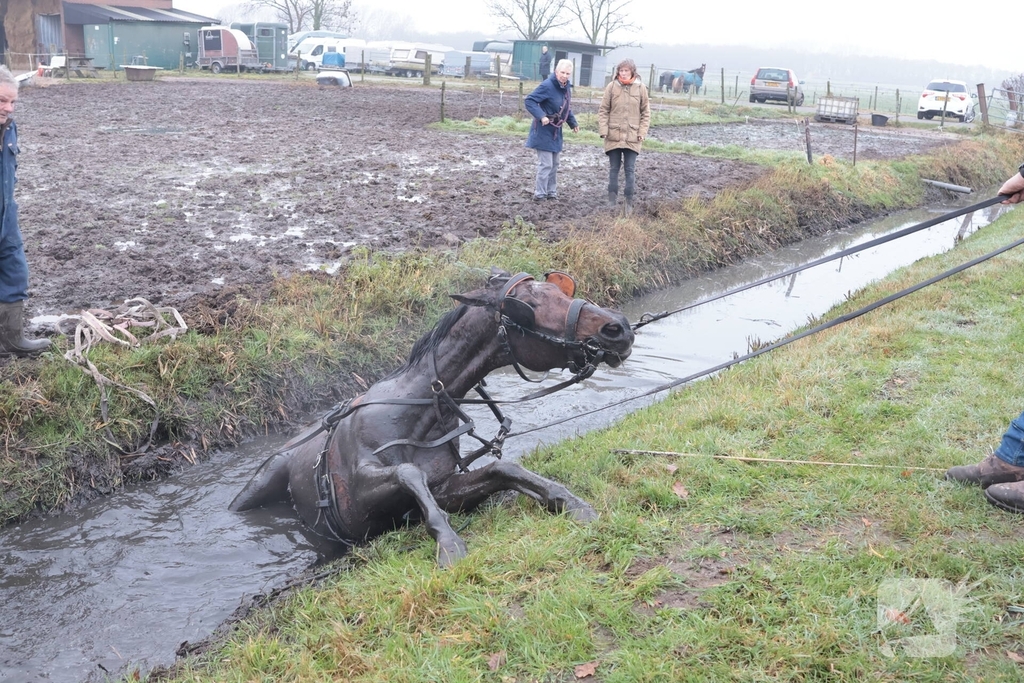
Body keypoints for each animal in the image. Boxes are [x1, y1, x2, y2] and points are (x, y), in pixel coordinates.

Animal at [229, 270, 635, 567]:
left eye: (561, 290)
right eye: (529, 304)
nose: (618, 327)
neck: (417, 411)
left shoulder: (442, 488)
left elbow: (502, 470)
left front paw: (568, 501)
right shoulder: (359, 495)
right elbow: (409, 473)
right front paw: (449, 544)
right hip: (258, 486)